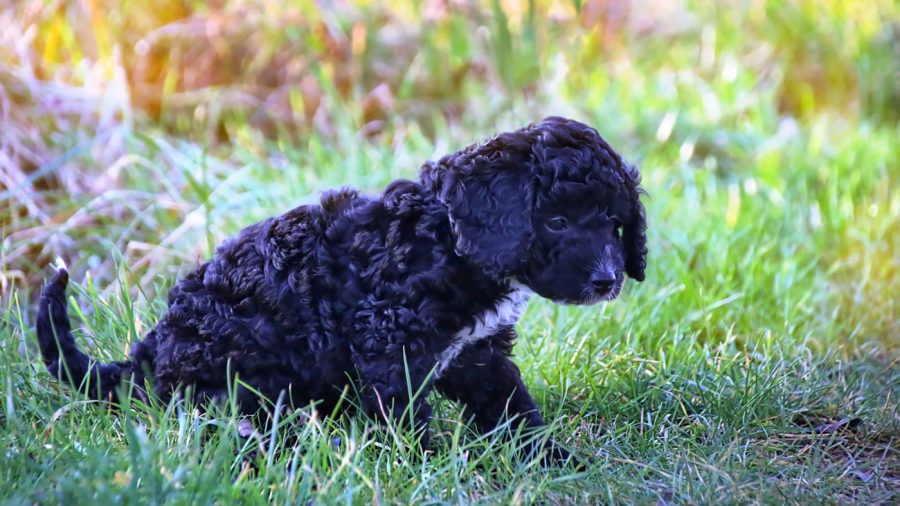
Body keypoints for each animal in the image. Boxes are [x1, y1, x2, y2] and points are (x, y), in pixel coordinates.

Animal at [35, 115, 644, 462]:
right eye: (557, 222)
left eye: (616, 224)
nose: (607, 280)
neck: (447, 240)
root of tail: (147, 356)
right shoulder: (390, 341)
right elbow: (405, 415)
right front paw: (426, 465)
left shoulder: (478, 350)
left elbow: (510, 406)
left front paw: (550, 458)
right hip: (234, 375)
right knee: (230, 421)